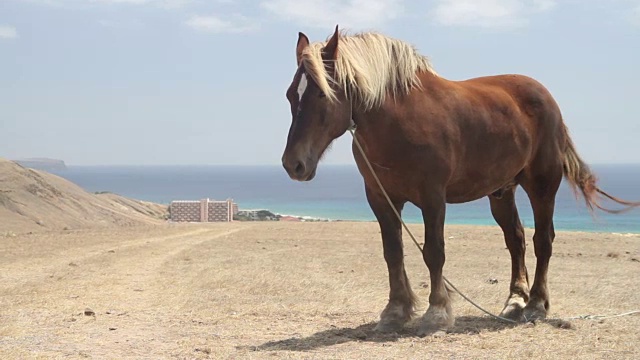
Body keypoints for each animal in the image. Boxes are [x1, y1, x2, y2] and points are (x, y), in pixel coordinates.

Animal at [282, 25, 640, 334]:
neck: (398, 121)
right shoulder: (381, 198)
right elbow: (392, 252)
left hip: (541, 186)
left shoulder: (432, 197)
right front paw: (396, 312)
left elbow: (434, 251)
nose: (292, 164)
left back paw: (536, 305)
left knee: (543, 240)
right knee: (517, 240)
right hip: (501, 192)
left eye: (322, 95)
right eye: (290, 95)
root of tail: (547, 99)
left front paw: (437, 313)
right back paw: (514, 301)